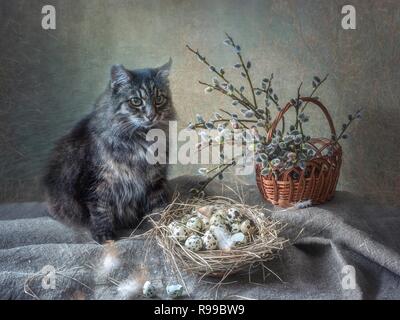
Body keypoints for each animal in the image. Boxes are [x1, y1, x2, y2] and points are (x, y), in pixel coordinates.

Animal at [43, 59, 176, 242]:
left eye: (159, 99)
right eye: (136, 101)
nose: (151, 115)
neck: (140, 139)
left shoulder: (155, 179)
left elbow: (158, 207)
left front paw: (159, 228)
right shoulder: (97, 182)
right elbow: (100, 210)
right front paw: (104, 236)